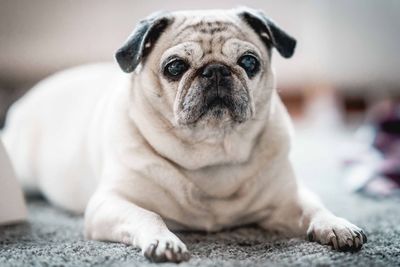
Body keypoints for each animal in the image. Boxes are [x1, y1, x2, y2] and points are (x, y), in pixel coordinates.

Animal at [1, 7, 368, 264]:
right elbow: (147, 214)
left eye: (249, 62)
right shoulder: (109, 203)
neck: (212, 153)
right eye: (175, 67)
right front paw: (164, 241)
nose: (216, 70)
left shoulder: (287, 199)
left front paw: (337, 225)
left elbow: (315, 206)